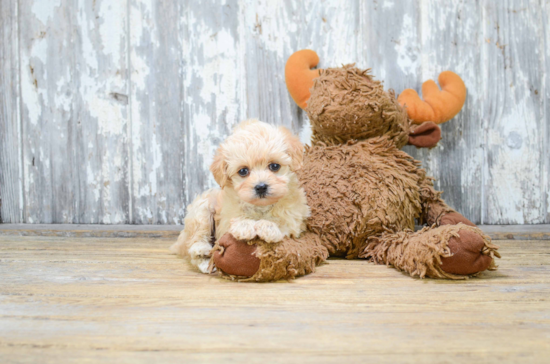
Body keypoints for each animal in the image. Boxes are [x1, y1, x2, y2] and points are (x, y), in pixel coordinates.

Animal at [171, 119, 310, 272]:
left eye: (274, 166)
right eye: (243, 171)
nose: (261, 187)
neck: (261, 207)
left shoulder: (296, 220)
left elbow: (285, 222)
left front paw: (268, 226)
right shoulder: (225, 219)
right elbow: (235, 218)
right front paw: (245, 225)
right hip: (201, 209)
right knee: (195, 241)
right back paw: (202, 252)